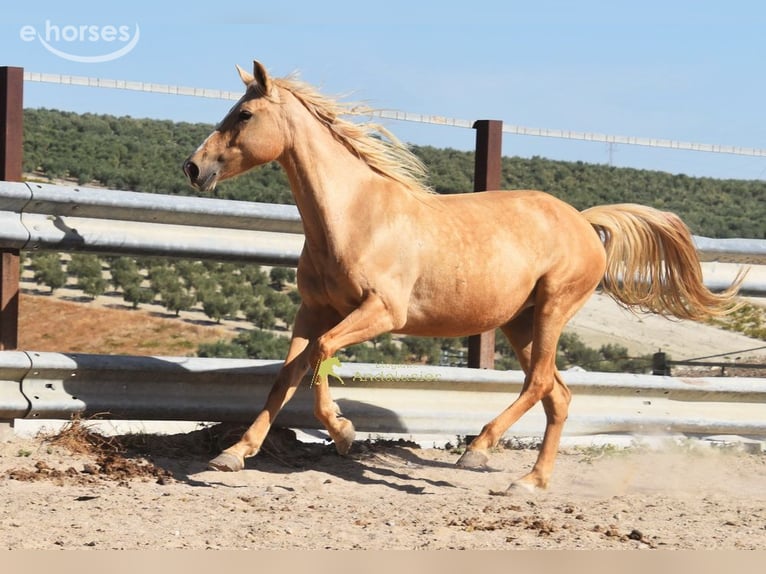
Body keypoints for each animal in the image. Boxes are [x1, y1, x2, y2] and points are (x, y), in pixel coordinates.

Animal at [183, 60, 744, 492]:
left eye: (245, 114)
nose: (193, 168)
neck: (353, 216)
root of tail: (585, 221)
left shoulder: (382, 312)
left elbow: (321, 356)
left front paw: (343, 432)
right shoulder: (313, 309)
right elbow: (288, 375)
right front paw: (234, 453)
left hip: (553, 308)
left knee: (541, 382)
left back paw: (479, 451)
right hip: (521, 322)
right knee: (558, 394)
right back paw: (530, 482)